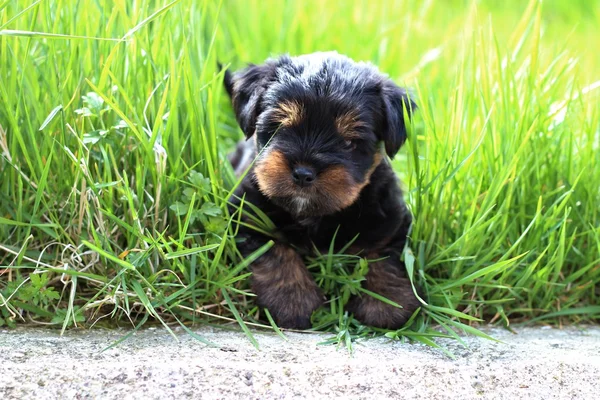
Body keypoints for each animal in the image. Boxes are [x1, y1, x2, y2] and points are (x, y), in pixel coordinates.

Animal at [223, 51, 420, 330]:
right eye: (281, 128)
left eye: (348, 142)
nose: (304, 173)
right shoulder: (246, 213)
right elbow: (274, 250)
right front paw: (294, 301)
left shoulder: (391, 220)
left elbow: (385, 255)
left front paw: (387, 302)